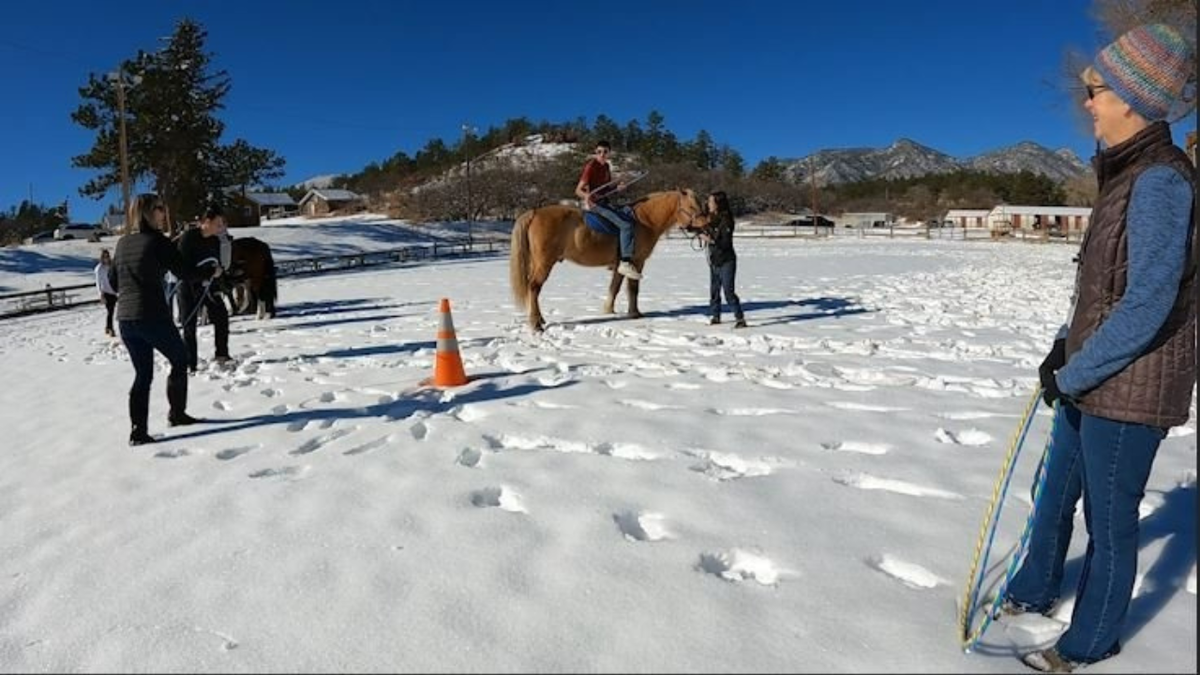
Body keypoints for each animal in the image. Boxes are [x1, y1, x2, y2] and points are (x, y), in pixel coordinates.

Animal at [504, 187, 700, 329]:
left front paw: (609, 310)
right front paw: (635, 313)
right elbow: (633, 289)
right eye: (691, 207)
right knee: (534, 287)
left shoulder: (620, 265)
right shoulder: (637, 262)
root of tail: (535, 212)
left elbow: (615, 287)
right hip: (544, 264)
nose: (704, 225)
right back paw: (536, 323)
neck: (645, 220)